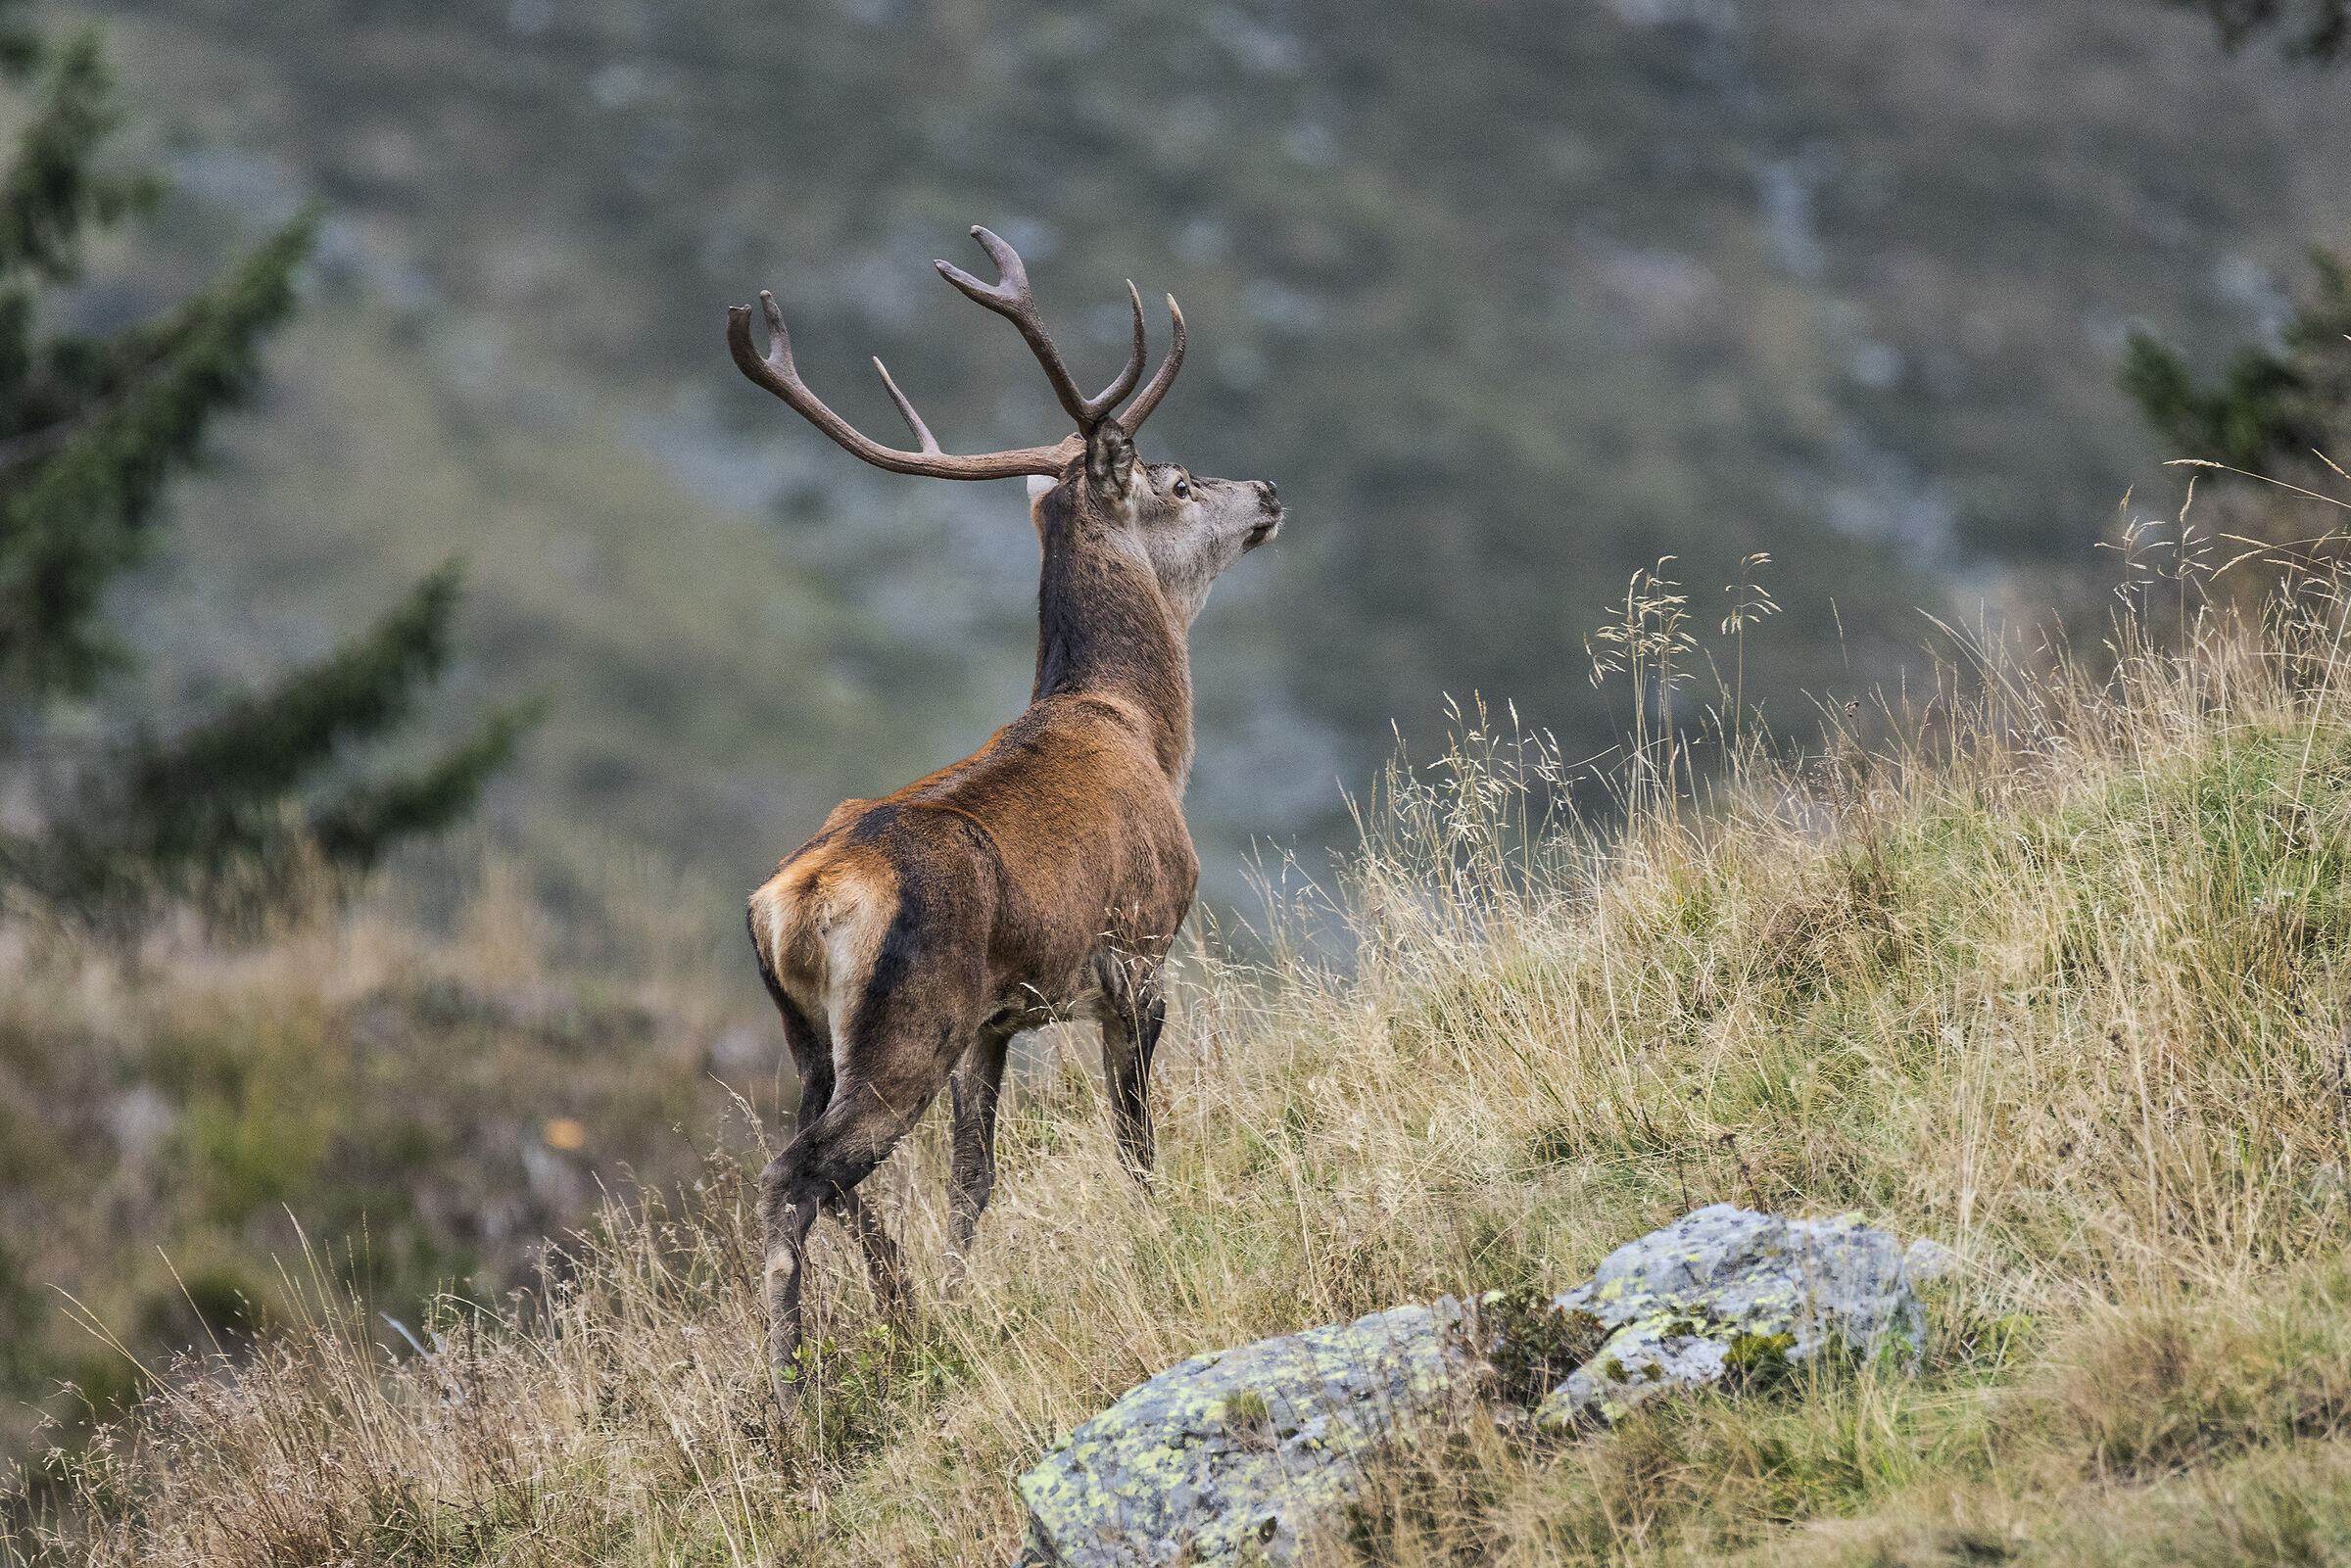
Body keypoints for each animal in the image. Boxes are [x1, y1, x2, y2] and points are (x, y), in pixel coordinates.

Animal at [727, 227, 1283, 1411]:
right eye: (1177, 479)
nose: (1267, 487)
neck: (1140, 728)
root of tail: (794, 902)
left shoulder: (996, 1021)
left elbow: (973, 1178)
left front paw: (958, 1292)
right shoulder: (1137, 951)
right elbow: (1133, 1135)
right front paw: (1157, 1237)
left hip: (821, 1036)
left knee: (833, 1168)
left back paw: (901, 1313)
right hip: (908, 1024)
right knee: (794, 1175)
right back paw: (790, 1388)